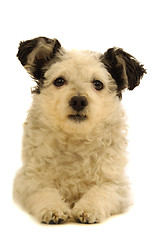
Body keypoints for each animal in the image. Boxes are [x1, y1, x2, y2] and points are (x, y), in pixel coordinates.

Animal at [13, 36, 146, 224]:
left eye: (97, 84)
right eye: (59, 81)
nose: (78, 101)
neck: (75, 138)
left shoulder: (117, 185)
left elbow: (101, 191)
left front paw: (88, 208)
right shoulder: (28, 180)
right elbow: (44, 191)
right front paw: (53, 208)